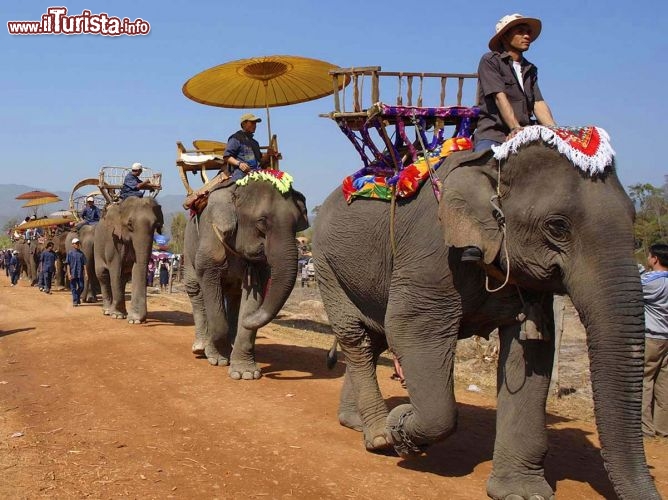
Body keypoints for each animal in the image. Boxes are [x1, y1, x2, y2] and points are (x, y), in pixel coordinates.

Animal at [183, 172, 308, 378]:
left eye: (297, 224)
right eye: (262, 222)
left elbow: (252, 294)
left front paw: (245, 374)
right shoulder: (211, 238)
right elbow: (210, 285)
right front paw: (217, 358)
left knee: (234, 295)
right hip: (188, 246)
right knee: (195, 289)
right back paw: (201, 347)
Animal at [312, 133, 656, 500]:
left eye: (633, 219)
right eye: (557, 227)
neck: (493, 162)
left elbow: (531, 352)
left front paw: (523, 493)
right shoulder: (433, 254)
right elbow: (408, 329)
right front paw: (400, 428)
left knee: (372, 339)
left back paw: (357, 423)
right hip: (325, 263)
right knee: (356, 338)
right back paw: (378, 435)